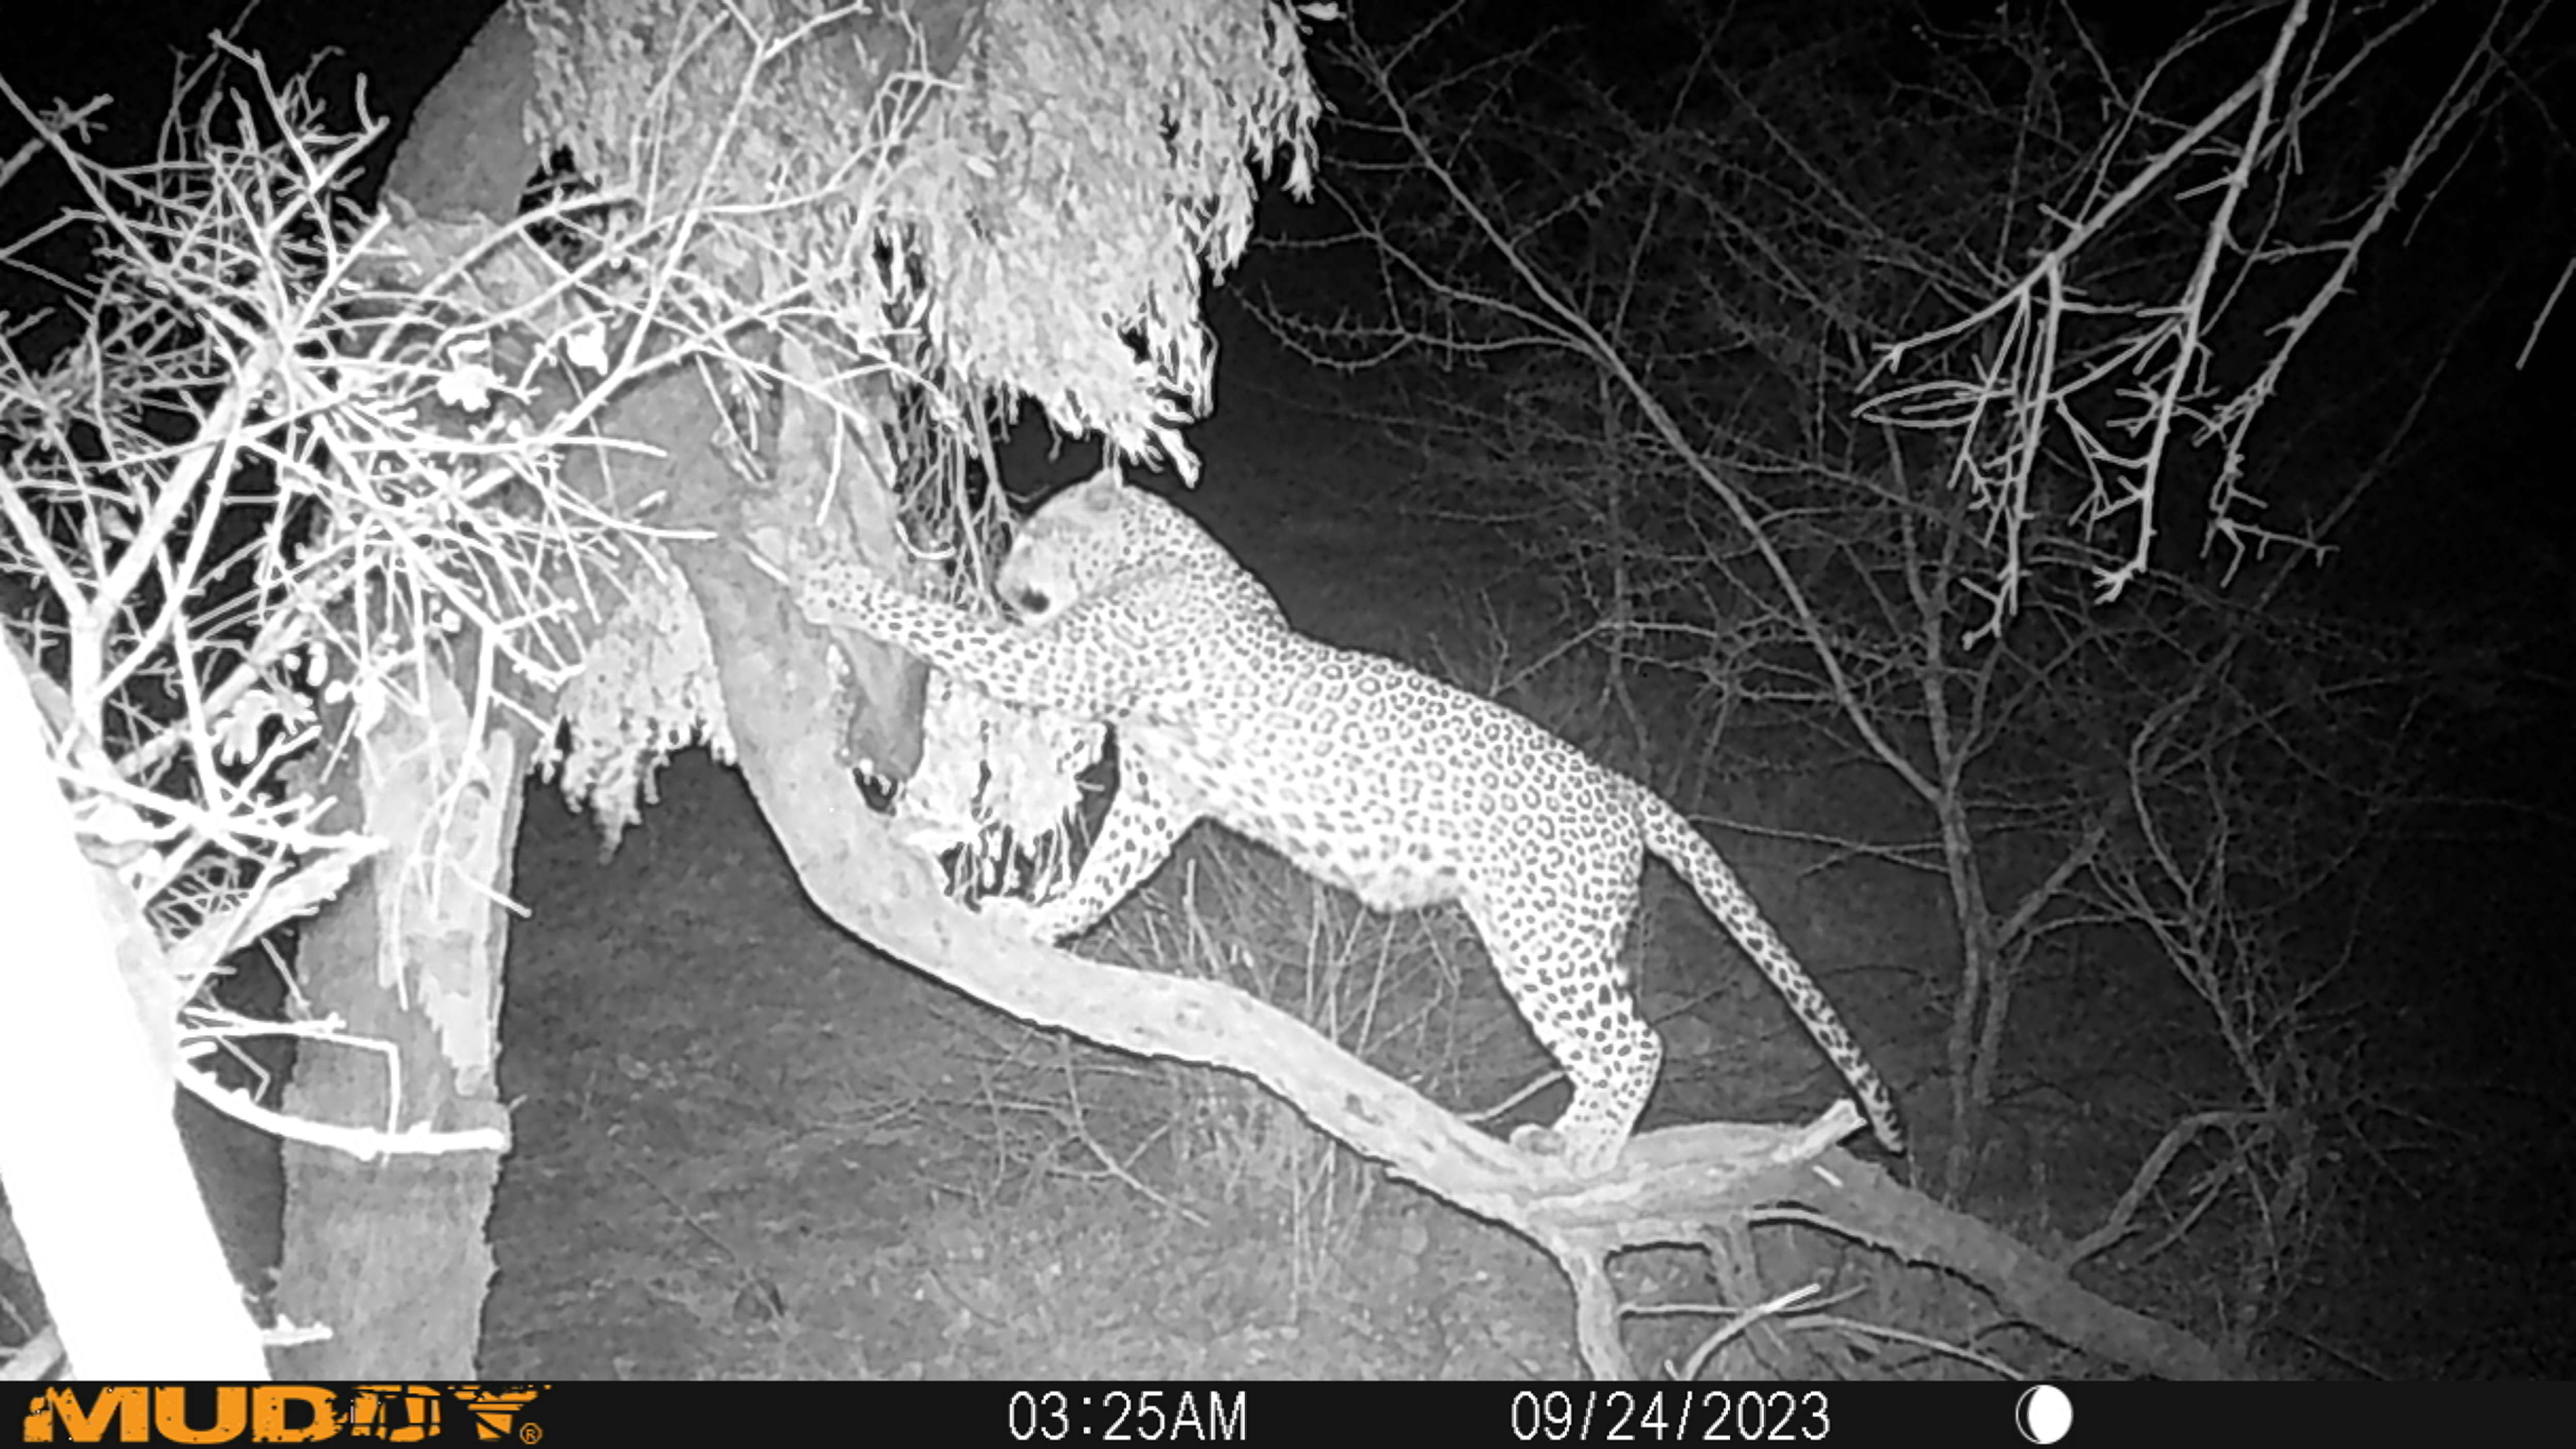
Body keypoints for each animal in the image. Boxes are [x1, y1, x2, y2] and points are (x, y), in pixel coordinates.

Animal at [796, 468, 1905, 1176]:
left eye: (1031, 533)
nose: (1000, 564)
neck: (1156, 550)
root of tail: (1617, 785)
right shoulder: (1159, 793)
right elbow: (1109, 870)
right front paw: (1043, 920)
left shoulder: (1057, 661)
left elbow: (949, 632)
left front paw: (835, 580)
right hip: (1580, 937)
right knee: (1620, 1039)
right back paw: (1577, 1136)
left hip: (1540, 937)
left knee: (1634, 1046)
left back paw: (1580, 1153)